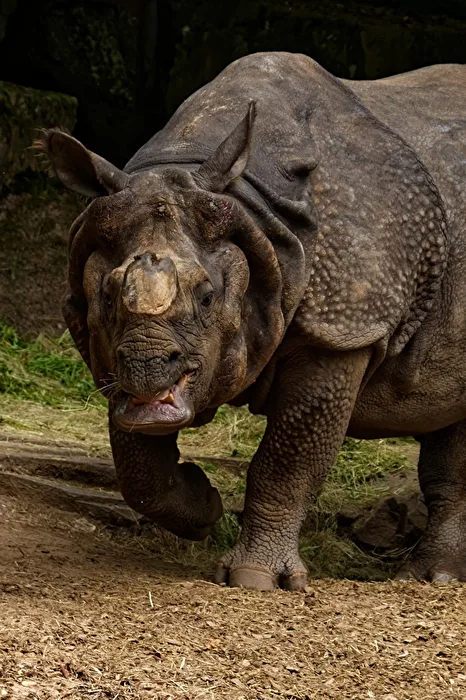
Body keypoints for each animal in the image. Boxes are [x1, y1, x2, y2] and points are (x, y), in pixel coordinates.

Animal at [38, 52, 466, 591]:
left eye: (207, 298)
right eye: (108, 297)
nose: (145, 366)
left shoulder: (344, 329)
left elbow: (288, 458)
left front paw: (254, 578)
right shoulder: (106, 352)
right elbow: (137, 467)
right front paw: (203, 503)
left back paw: (434, 579)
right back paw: (436, 578)